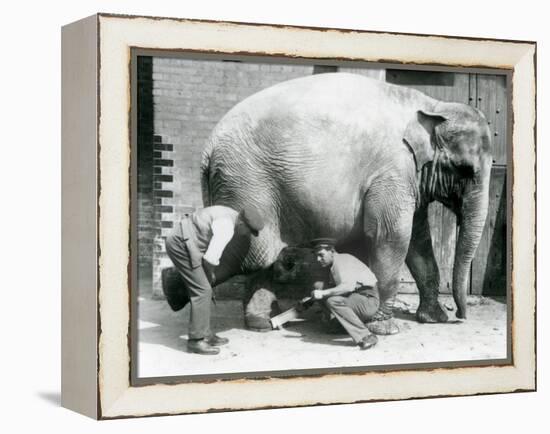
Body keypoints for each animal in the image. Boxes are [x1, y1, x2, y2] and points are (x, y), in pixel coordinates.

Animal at [201, 72, 494, 328]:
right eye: (465, 169)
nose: (459, 316)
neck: (433, 105)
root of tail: (208, 146)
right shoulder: (392, 172)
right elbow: (392, 236)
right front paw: (383, 327)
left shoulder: (409, 177)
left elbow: (418, 241)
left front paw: (433, 319)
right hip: (245, 180)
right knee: (254, 253)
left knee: (262, 255)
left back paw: (263, 322)